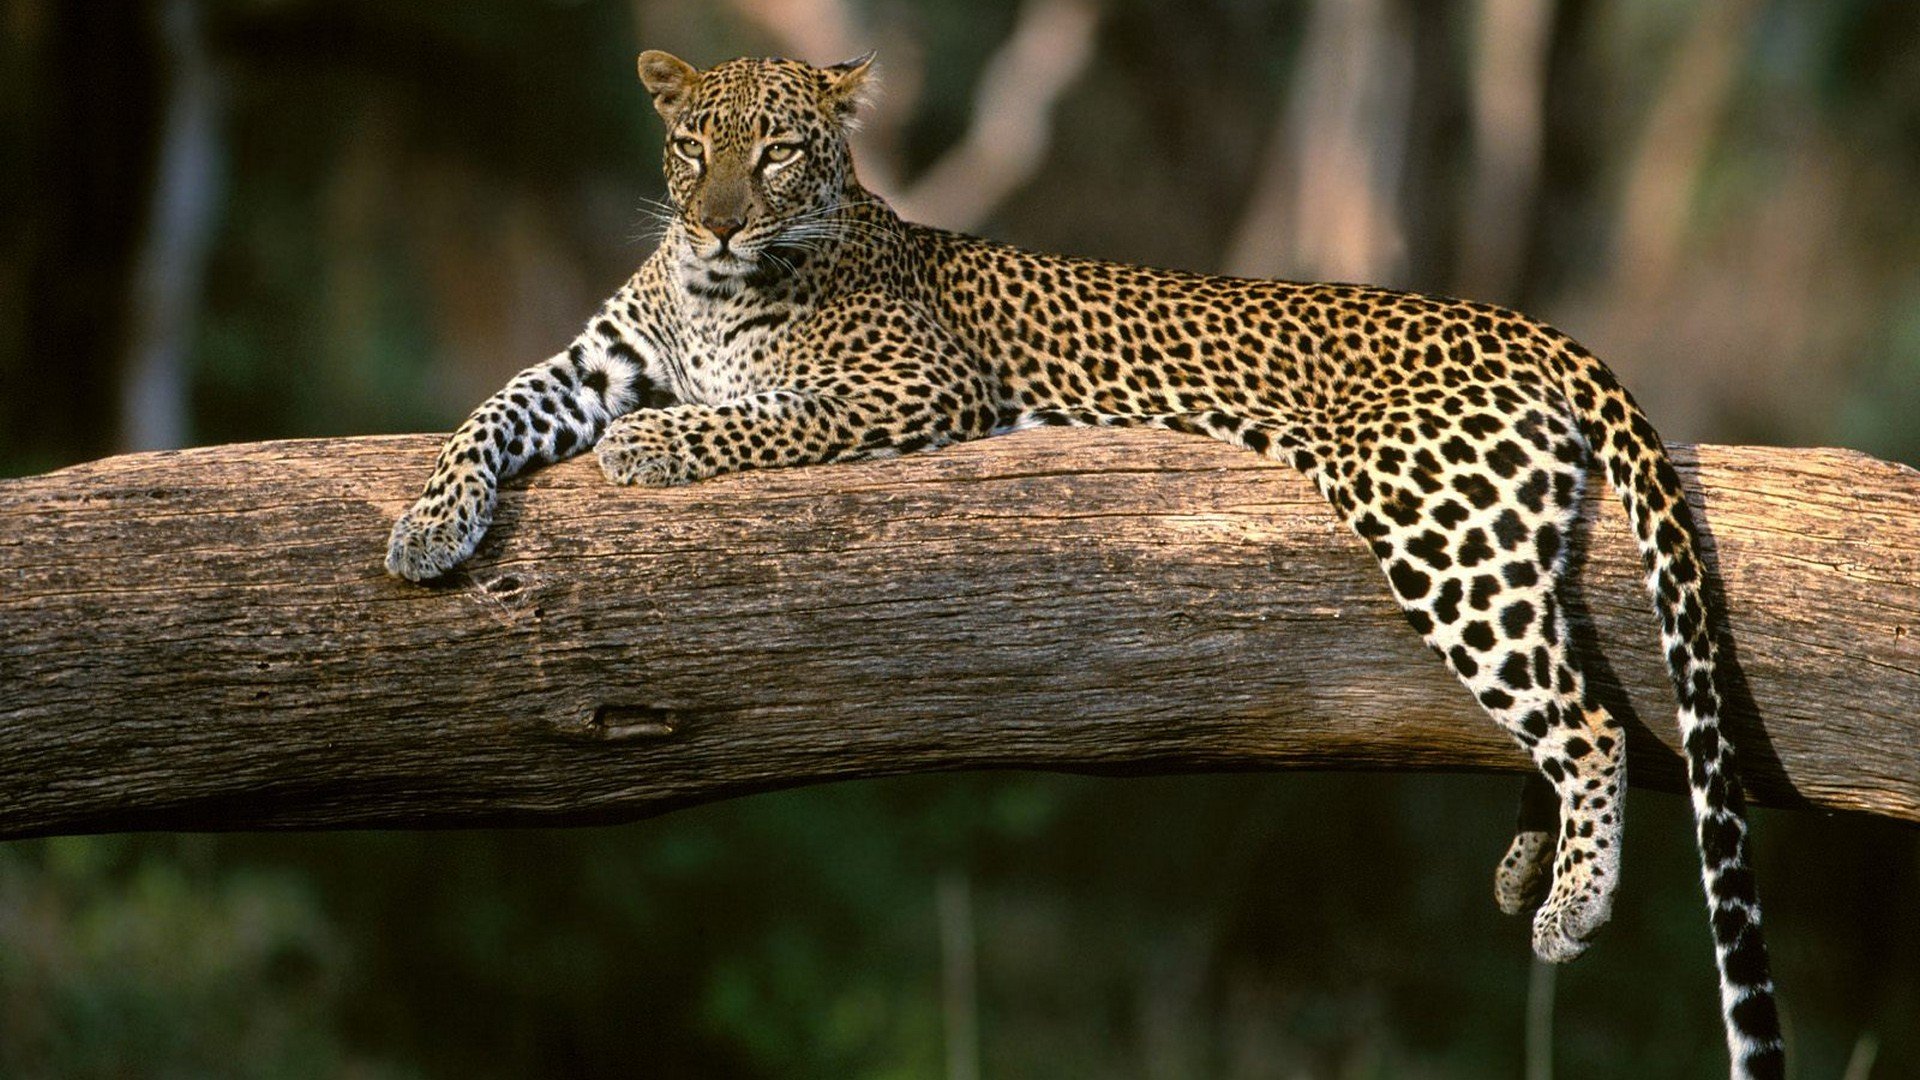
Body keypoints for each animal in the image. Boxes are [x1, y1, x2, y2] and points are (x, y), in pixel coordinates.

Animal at [385, 51, 1784, 1078]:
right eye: (694, 145)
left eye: (777, 151)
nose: (719, 223)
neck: (714, 292)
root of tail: (1517, 318)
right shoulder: (590, 362)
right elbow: (491, 411)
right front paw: (426, 527)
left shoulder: (910, 389)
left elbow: (746, 418)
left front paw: (651, 448)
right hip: (1493, 531)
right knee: (1566, 689)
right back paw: (1525, 860)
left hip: (1435, 522)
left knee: (1590, 720)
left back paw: (1572, 905)